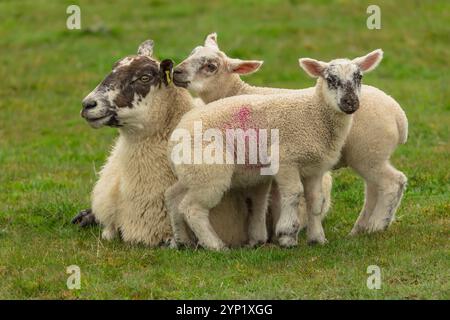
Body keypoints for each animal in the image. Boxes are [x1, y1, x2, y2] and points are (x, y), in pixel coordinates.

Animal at [172, 33, 408, 235]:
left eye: (210, 66)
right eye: (192, 53)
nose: (176, 72)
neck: (234, 93)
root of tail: (399, 114)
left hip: (369, 152)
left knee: (391, 183)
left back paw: (376, 226)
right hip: (370, 155)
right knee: (374, 188)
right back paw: (360, 229)